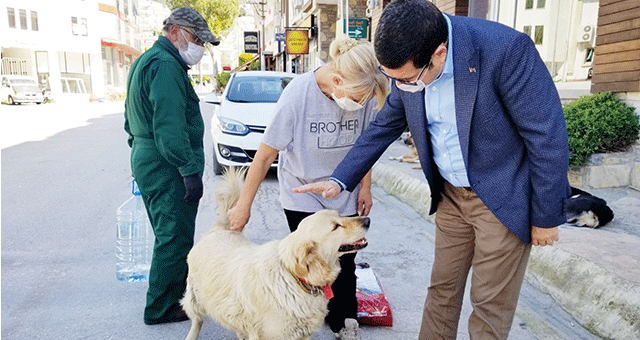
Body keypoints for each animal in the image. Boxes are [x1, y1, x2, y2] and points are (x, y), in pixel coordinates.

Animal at [180, 168, 370, 340]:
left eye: (340, 215)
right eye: (335, 227)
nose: (367, 220)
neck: (294, 278)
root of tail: (220, 229)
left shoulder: (302, 335)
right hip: (196, 299)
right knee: (197, 321)